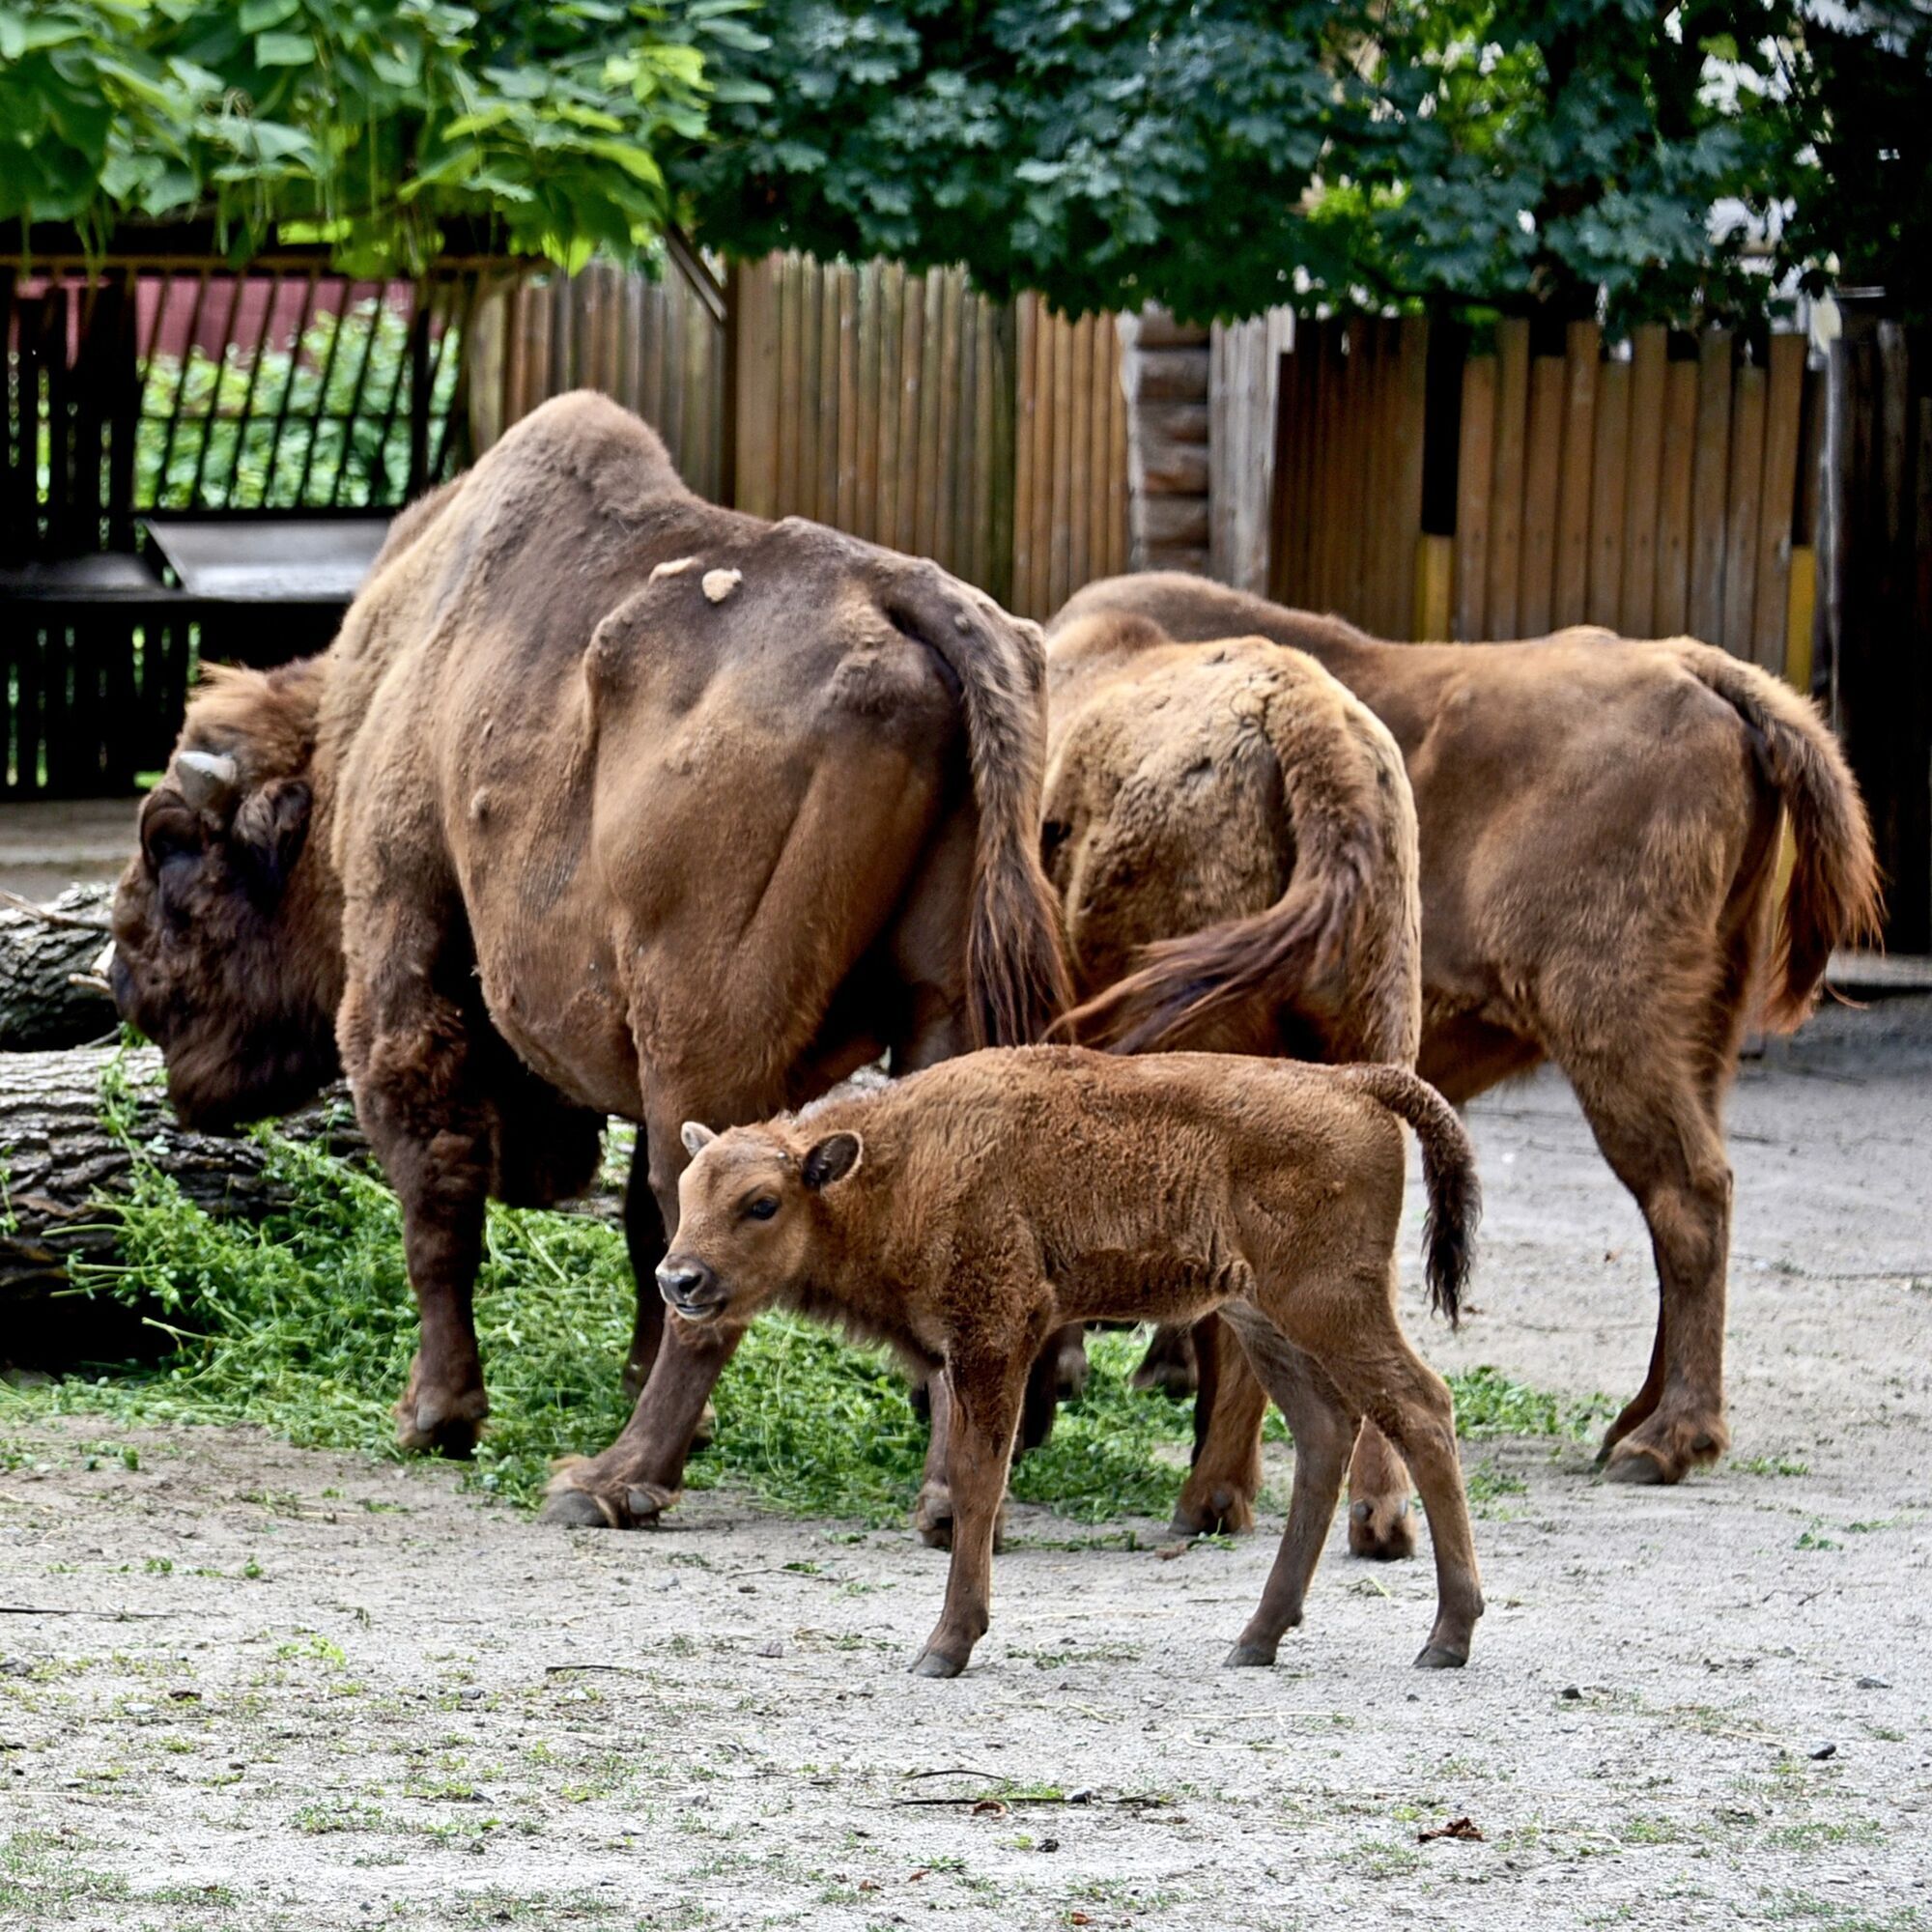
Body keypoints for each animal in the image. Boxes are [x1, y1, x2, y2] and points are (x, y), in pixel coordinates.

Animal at [111, 384, 1066, 1515]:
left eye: (174, 846)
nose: (118, 970)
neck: (374, 705)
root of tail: (899, 594)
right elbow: (642, 1228)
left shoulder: (400, 964)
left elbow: (438, 1191)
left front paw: (434, 1416)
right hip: (936, 1012)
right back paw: (946, 1493)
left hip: (703, 1041)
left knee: (719, 1237)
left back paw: (612, 1481)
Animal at [661, 1043, 1476, 1677]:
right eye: (688, 1189)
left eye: (762, 1202)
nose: (679, 1279)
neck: (901, 1164)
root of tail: (1352, 1082)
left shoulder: (994, 1339)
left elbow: (979, 1480)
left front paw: (945, 1646)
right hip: (1264, 1319)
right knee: (1325, 1431)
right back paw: (1257, 1638)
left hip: (1331, 1305)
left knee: (1421, 1407)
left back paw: (1447, 1637)